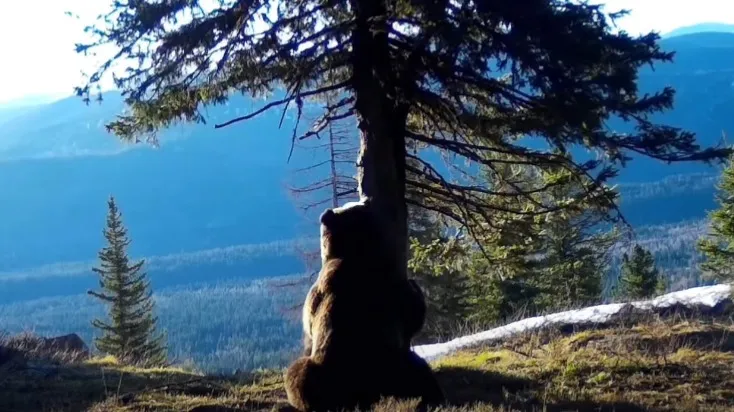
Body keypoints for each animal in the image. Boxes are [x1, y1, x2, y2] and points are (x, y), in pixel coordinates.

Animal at [284, 198, 444, 412]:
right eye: (353, 205)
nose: (365, 201)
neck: (352, 252)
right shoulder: (388, 284)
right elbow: (413, 314)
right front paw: (415, 286)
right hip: (389, 363)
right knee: (418, 371)